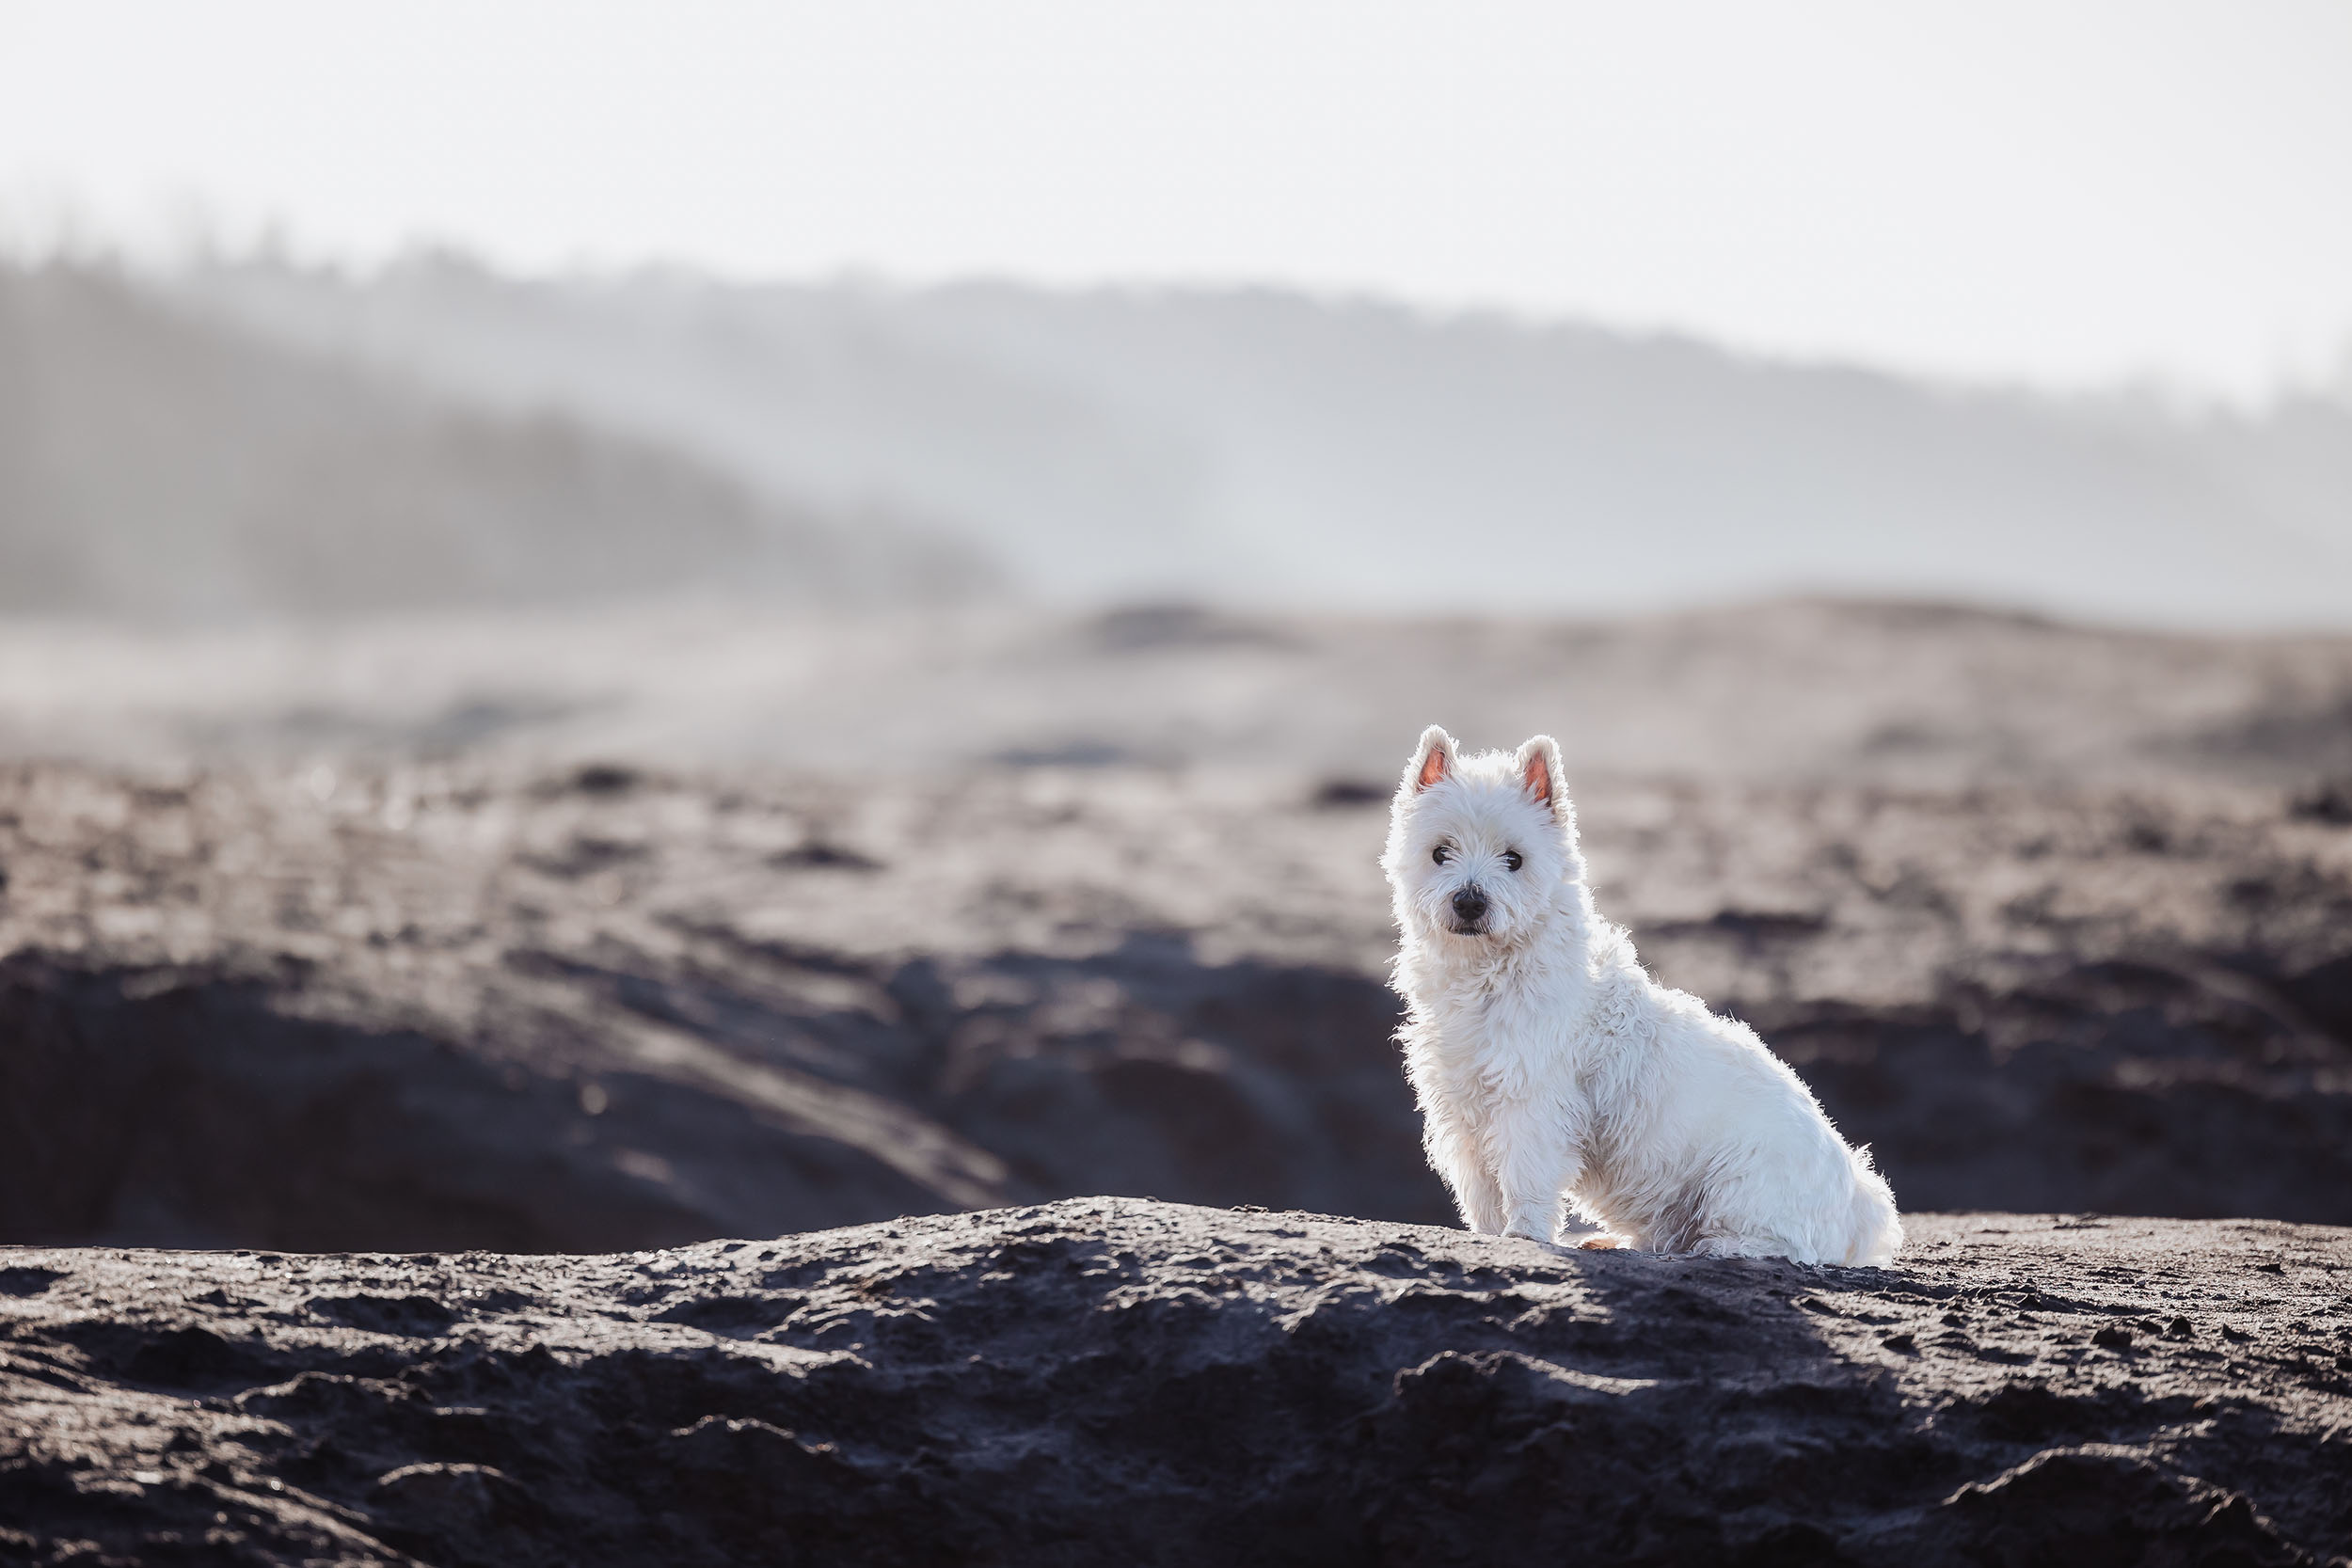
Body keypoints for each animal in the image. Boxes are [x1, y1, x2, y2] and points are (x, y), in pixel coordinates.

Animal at [1383, 728, 1900, 1269]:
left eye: (1514, 859)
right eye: (1440, 852)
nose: (1469, 901)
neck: (1485, 976)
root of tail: (1857, 1202)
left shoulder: (1532, 1103)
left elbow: (1525, 1177)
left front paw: (1523, 1234)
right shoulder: (1461, 1105)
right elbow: (1481, 1190)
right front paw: (1486, 1236)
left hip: (1743, 1182)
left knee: (1783, 1243)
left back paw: (1717, 1246)